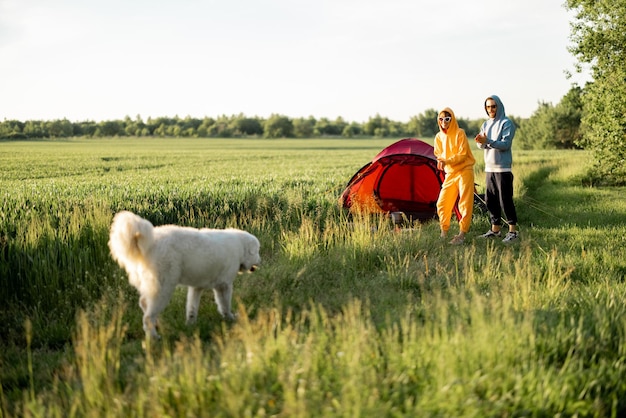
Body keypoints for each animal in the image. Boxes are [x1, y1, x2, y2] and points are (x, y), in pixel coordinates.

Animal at [108, 211, 260, 338]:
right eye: (257, 251)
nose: (260, 261)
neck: (240, 247)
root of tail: (150, 244)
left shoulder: (196, 287)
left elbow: (192, 307)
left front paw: (190, 324)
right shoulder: (224, 285)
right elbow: (225, 304)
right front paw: (230, 317)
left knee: (145, 304)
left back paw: (157, 325)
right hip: (163, 287)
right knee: (148, 315)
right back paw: (154, 336)